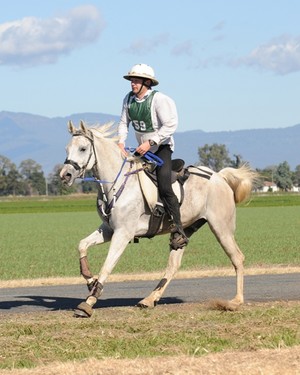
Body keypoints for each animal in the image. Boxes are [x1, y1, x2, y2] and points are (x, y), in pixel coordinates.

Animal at [60, 122, 258, 318]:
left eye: (83, 148)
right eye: (67, 148)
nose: (65, 175)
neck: (117, 184)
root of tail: (220, 177)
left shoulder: (123, 234)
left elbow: (107, 266)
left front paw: (88, 302)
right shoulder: (108, 230)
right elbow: (82, 245)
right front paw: (90, 280)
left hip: (221, 228)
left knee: (237, 257)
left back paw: (235, 301)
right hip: (184, 231)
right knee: (173, 265)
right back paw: (149, 299)